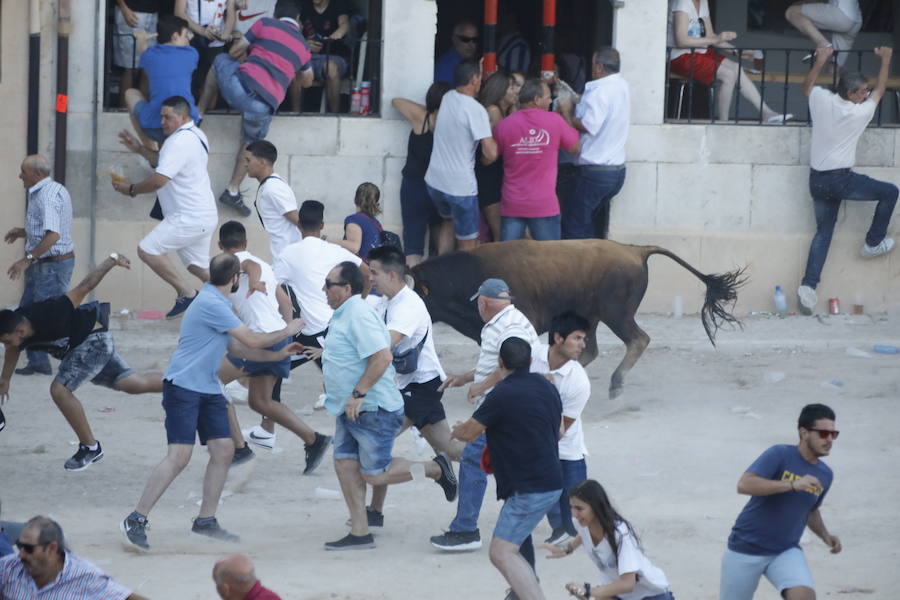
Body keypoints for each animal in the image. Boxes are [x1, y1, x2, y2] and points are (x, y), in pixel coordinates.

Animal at [410, 238, 744, 398]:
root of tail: (636, 251)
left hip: (616, 314)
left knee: (639, 339)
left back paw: (615, 384)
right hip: (590, 316)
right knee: (591, 350)